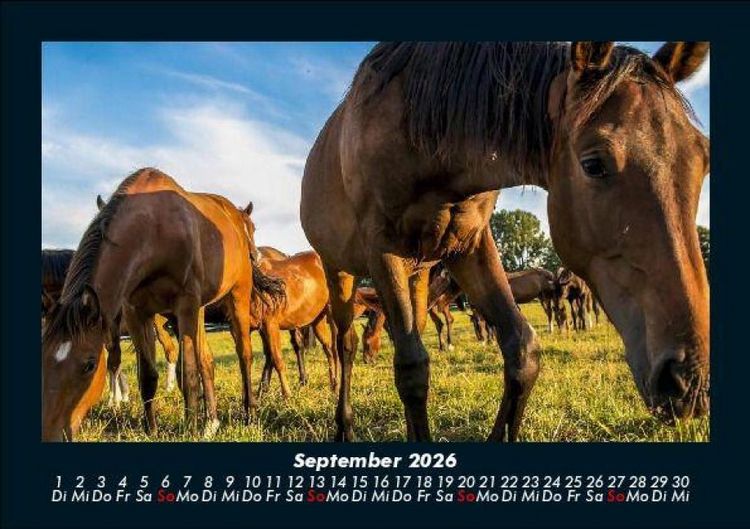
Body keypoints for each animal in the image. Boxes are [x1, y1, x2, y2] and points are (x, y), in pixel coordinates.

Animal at [42, 168, 280, 441]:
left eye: (90, 365)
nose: (51, 433)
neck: (154, 231)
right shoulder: (136, 313)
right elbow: (148, 375)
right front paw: (152, 429)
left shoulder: (184, 305)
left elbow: (187, 371)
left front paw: (189, 429)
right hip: (197, 311)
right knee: (207, 360)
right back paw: (211, 422)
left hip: (237, 296)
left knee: (244, 354)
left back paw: (249, 412)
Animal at [301, 42, 710, 441]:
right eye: (593, 164)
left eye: (703, 159)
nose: (689, 381)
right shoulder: (382, 249)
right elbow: (412, 368)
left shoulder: (470, 246)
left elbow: (522, 351)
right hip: (340, 271)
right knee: (346, 343)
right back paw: (344, 428)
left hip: (418, 272)